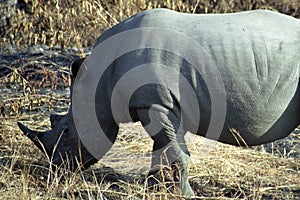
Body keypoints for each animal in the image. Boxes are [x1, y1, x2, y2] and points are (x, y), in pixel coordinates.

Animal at [18, 8, 300, 198]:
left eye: (66, 131)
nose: (55, 170)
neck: (100, 79)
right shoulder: (160, 104)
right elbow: (163, 148)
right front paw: (153, 186)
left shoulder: (155, 104)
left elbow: (176, 154)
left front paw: (186, 195)